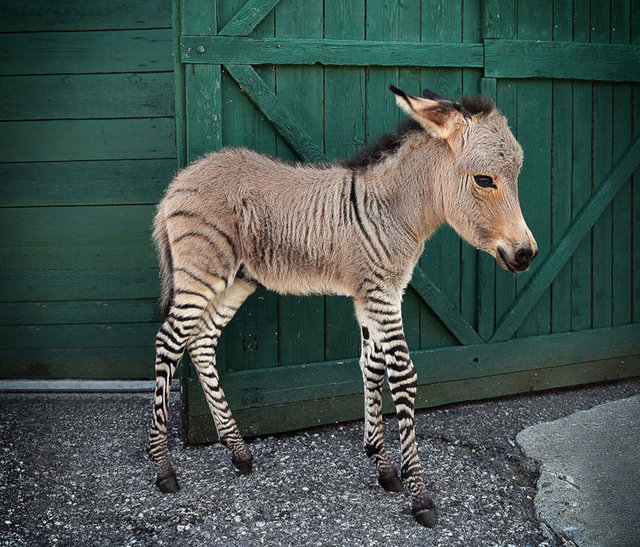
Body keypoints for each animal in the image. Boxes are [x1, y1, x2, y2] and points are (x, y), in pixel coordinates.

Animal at [147, 85, 537, 527]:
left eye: (516, 178)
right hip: (202, 272)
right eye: (484, 180)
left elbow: (371, 367)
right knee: (169, 342)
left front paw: (382, 465)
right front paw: (419, 494)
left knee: (200, 343)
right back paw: (163, 468)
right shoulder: (381, 293)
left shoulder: (374, 295)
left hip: (236, 280)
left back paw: (239, 452)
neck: (393, 211)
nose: (527, 255)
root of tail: (181, 178)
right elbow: (402, 375)